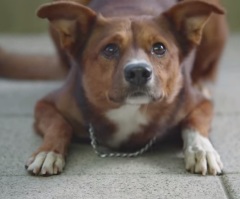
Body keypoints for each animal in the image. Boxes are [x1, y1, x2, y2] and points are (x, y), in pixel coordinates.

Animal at [2, 0, 228, 176]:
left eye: (159, 48)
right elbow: (59, 124)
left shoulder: (201, 104)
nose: (139, 72)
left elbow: (194, 122)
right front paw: (48, 152)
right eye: (110, 49)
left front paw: (201, 149)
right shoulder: (45, 104)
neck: (129, 109)